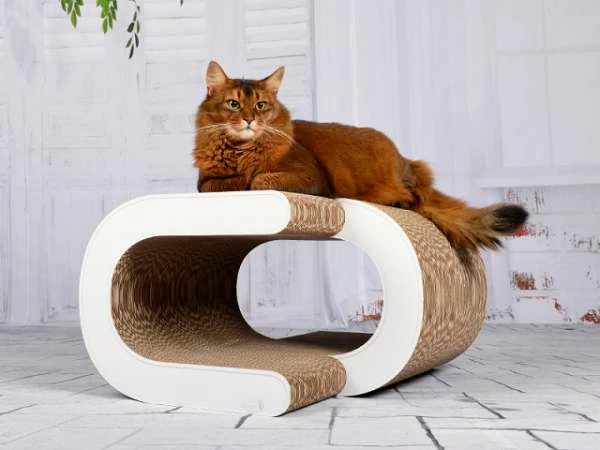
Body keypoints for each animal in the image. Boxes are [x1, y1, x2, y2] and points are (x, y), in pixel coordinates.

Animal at [193, 61, 528, 262]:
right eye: (233, 104)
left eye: (261, 105)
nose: (250, 120)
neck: (242, 149)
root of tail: (407, 161)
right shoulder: (203, 181)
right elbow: (217, 184)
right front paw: (239, 179)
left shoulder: (313, 177)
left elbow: (262, 177)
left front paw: (251, 178)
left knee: (414, 197)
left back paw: (398, 201)